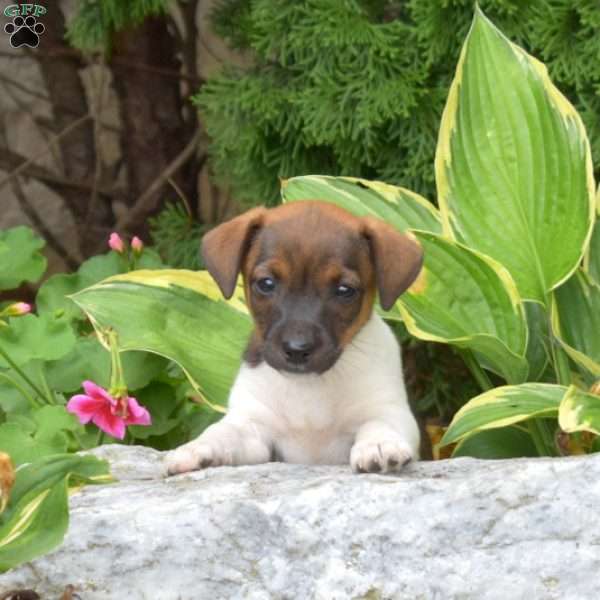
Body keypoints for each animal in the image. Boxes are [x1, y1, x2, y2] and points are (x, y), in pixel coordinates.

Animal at [164, 199, 424, 476]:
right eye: (266, 283)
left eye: (345, 290)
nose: (297, 350)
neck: (309, 388)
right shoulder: (254, 425)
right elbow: (223, 431)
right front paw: (197, 447)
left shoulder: (389, 409)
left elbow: (380, 423)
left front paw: (380, 444)